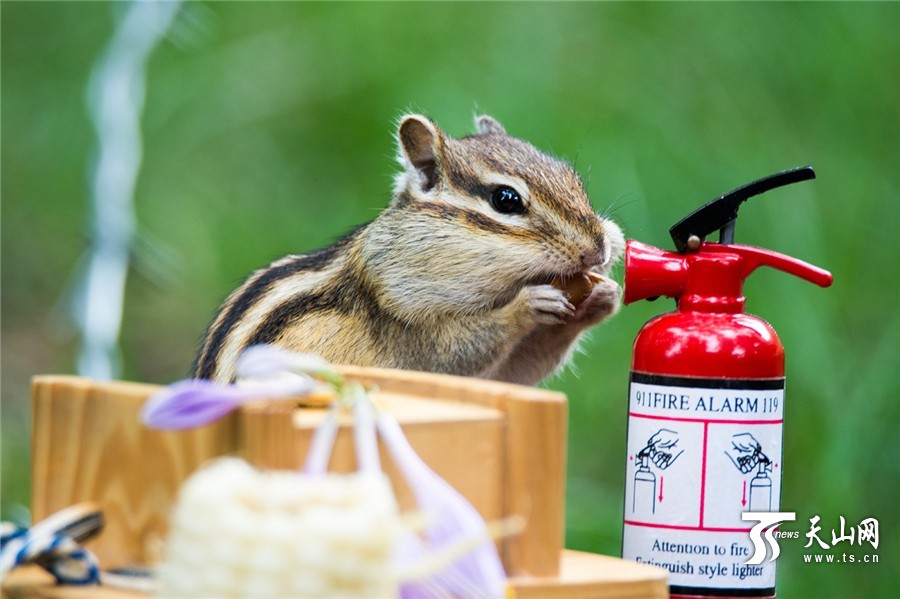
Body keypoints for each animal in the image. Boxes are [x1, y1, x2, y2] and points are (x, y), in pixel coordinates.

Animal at [193, 114, 624, 386]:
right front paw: (528, 305)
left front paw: (604, 297)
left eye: (572, 176)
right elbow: (453, 351)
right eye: (506, 199)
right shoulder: (401, 317)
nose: (599, 249)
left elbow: (518, 372)